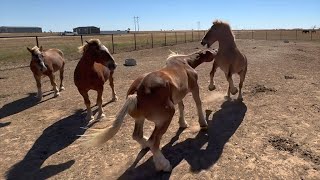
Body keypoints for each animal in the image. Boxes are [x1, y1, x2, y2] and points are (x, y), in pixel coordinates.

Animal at [82, 48, 218, 172]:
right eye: (210, 50)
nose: (216, 50)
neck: (184, 63)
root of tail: (136, 94)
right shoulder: (194, 88)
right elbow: (198, 103)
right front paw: (203, 124)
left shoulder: (179, 95)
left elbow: (182, 107)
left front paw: (183, 123)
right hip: (165, 118)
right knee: (154, 142)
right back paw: (164, 165)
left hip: (140, 119)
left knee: (137, 135)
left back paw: (145, 144)